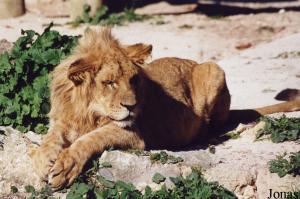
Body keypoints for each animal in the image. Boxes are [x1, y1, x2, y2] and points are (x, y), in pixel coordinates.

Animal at [29, 28, 300, 190]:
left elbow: (89, 140)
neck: (87, 111)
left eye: (134, 80)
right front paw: (44, 161)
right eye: (110, 83)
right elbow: (50, 139)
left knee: (215, 125)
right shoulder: (62, 121)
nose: (132, 106)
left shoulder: (132, 134)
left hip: (213, 69)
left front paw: (65, 166)